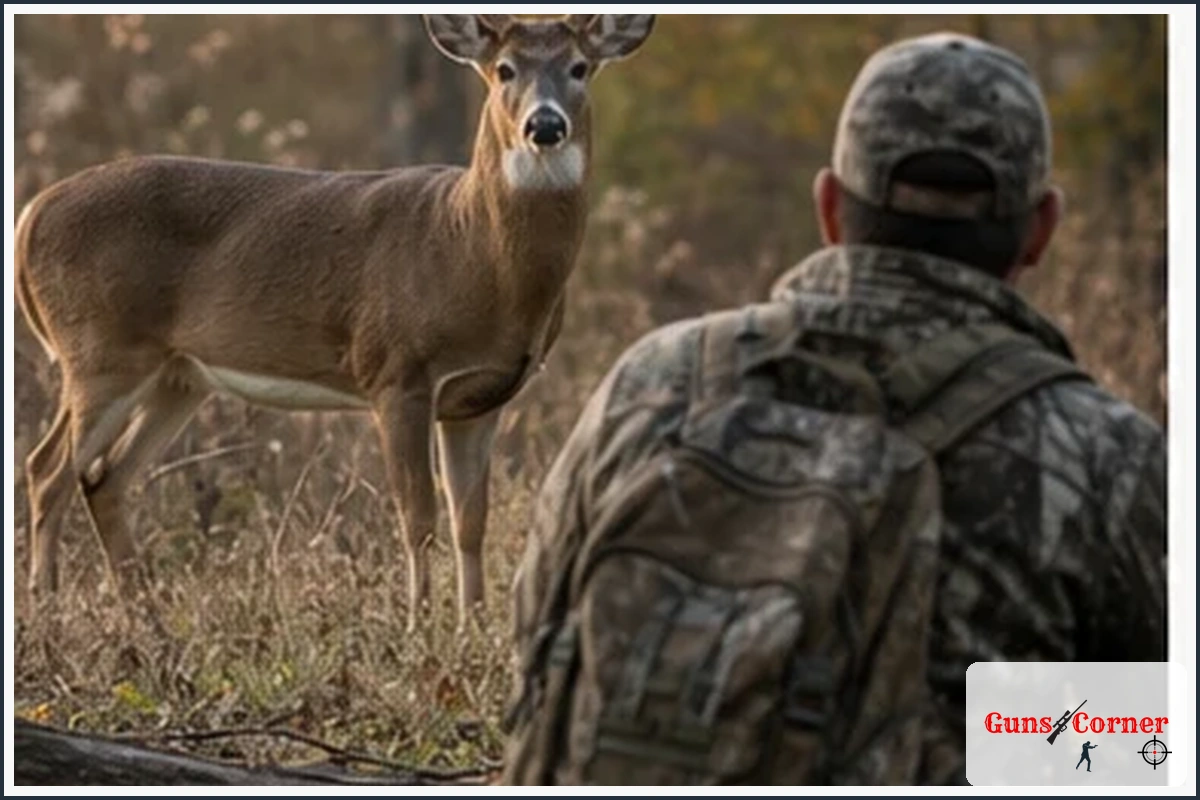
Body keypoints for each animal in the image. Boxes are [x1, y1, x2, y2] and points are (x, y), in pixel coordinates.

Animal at [15, 14, 656, 631]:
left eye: (579, 66)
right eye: (504, 69)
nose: (543, 125)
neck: (472, 248)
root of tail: (30, 216)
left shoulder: (481, 397)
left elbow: (470, 519)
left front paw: (473, 629)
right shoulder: (396, 372)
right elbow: (417, 514)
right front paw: (418, 629)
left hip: (177, 376)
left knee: (105, 477)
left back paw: (147, 623)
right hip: (100, 351)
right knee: (48, 469)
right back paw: (49, 615)